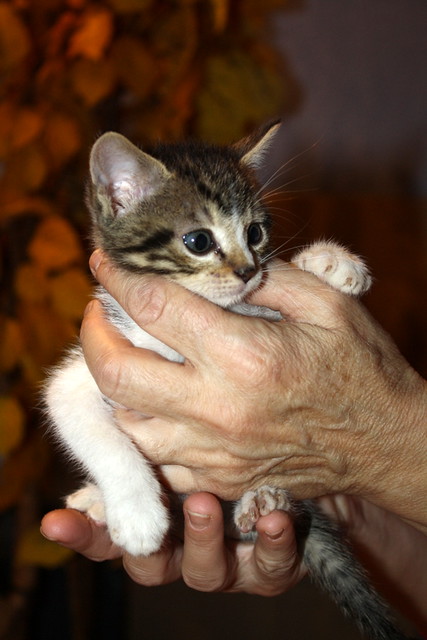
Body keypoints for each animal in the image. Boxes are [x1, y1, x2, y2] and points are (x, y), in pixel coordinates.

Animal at [44, 122, 412, 636]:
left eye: (255, 232)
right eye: (198, 241)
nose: (248, 271)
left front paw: (329, 262)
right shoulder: (89, 370)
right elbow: (92, 428)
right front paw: (137, 514)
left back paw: (264, 504)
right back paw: (101, 499)